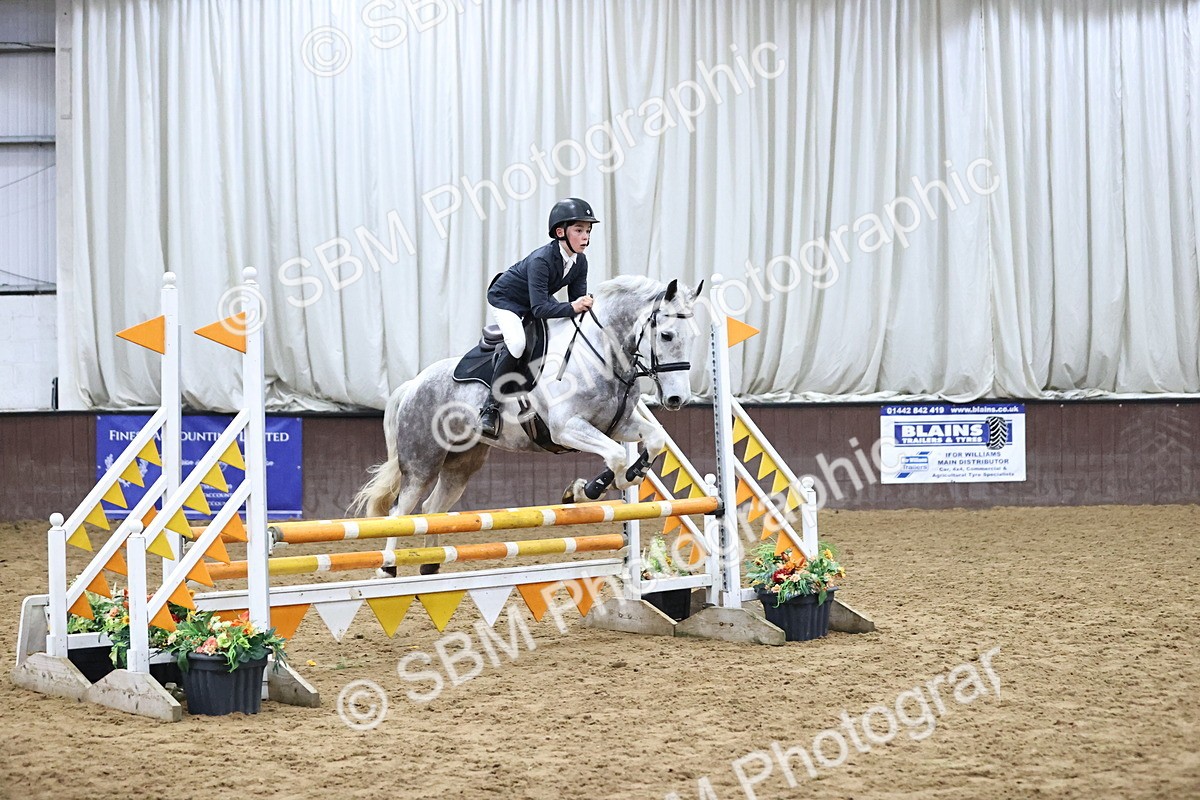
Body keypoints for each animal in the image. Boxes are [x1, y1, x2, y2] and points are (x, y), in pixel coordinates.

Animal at [350, 275, 703, 570]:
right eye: (667, 335)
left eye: (692, 338)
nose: (677, 399)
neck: (600, 356)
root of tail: (413, 384)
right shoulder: (566, 428)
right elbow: (616, 456)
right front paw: (591, 489)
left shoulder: (617, 425)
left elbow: (653, 440)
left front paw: (615, 480)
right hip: (422, 461)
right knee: (400, 511)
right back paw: (388, 567)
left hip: (461, 465)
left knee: (432, 507)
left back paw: (431, 564)